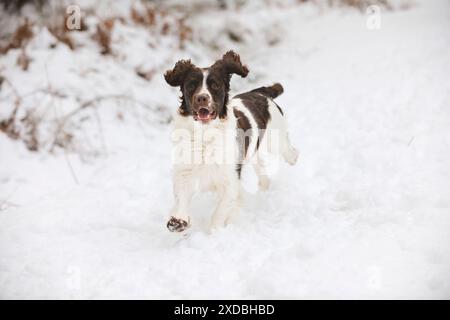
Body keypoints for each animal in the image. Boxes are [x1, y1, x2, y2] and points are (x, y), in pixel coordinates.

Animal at [163, 50, 298, 231]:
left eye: (215, 85)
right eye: (191, 85)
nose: (202, 98)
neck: (205, 135)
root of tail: (261, 92)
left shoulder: (229, 179)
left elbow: (220, 212)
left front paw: (214, 232)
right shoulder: (185, 170)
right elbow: (182, 196)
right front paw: (178, 221)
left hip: (276, 140)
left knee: (290, 152)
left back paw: (293, 158)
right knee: (262, 173)